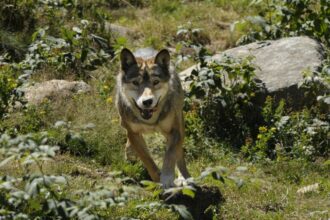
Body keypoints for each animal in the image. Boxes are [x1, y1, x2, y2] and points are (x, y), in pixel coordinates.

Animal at [116, 47, 191, 187]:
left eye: (155, 82)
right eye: (135, 82)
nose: (147, 102)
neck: (150, 121)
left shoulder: (174, 131)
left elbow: (170, 155)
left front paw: (167, 179)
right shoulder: (133, 133)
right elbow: (147, 160)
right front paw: (157, 179)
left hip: (178, 127)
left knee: (179, 154)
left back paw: (184, 177)